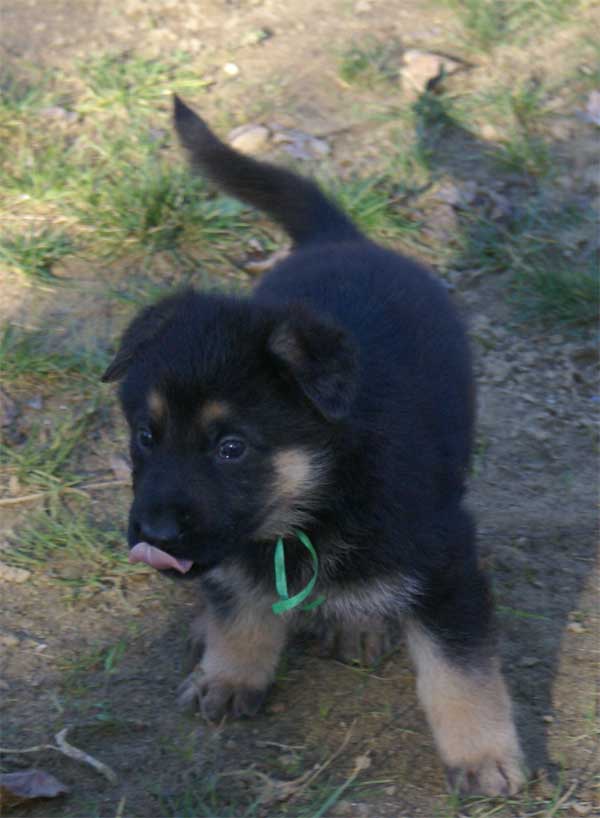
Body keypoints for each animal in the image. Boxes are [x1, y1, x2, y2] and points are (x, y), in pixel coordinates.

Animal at [103, 94, 524, 792]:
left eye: (232, 447)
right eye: (145, 435)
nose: (153, 536)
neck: (318, 492)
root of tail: (341, 239)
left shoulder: (446, 559)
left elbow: (460, 669)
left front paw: (483, 755)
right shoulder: (241, 540)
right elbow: (239, 599)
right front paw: (230, 670)